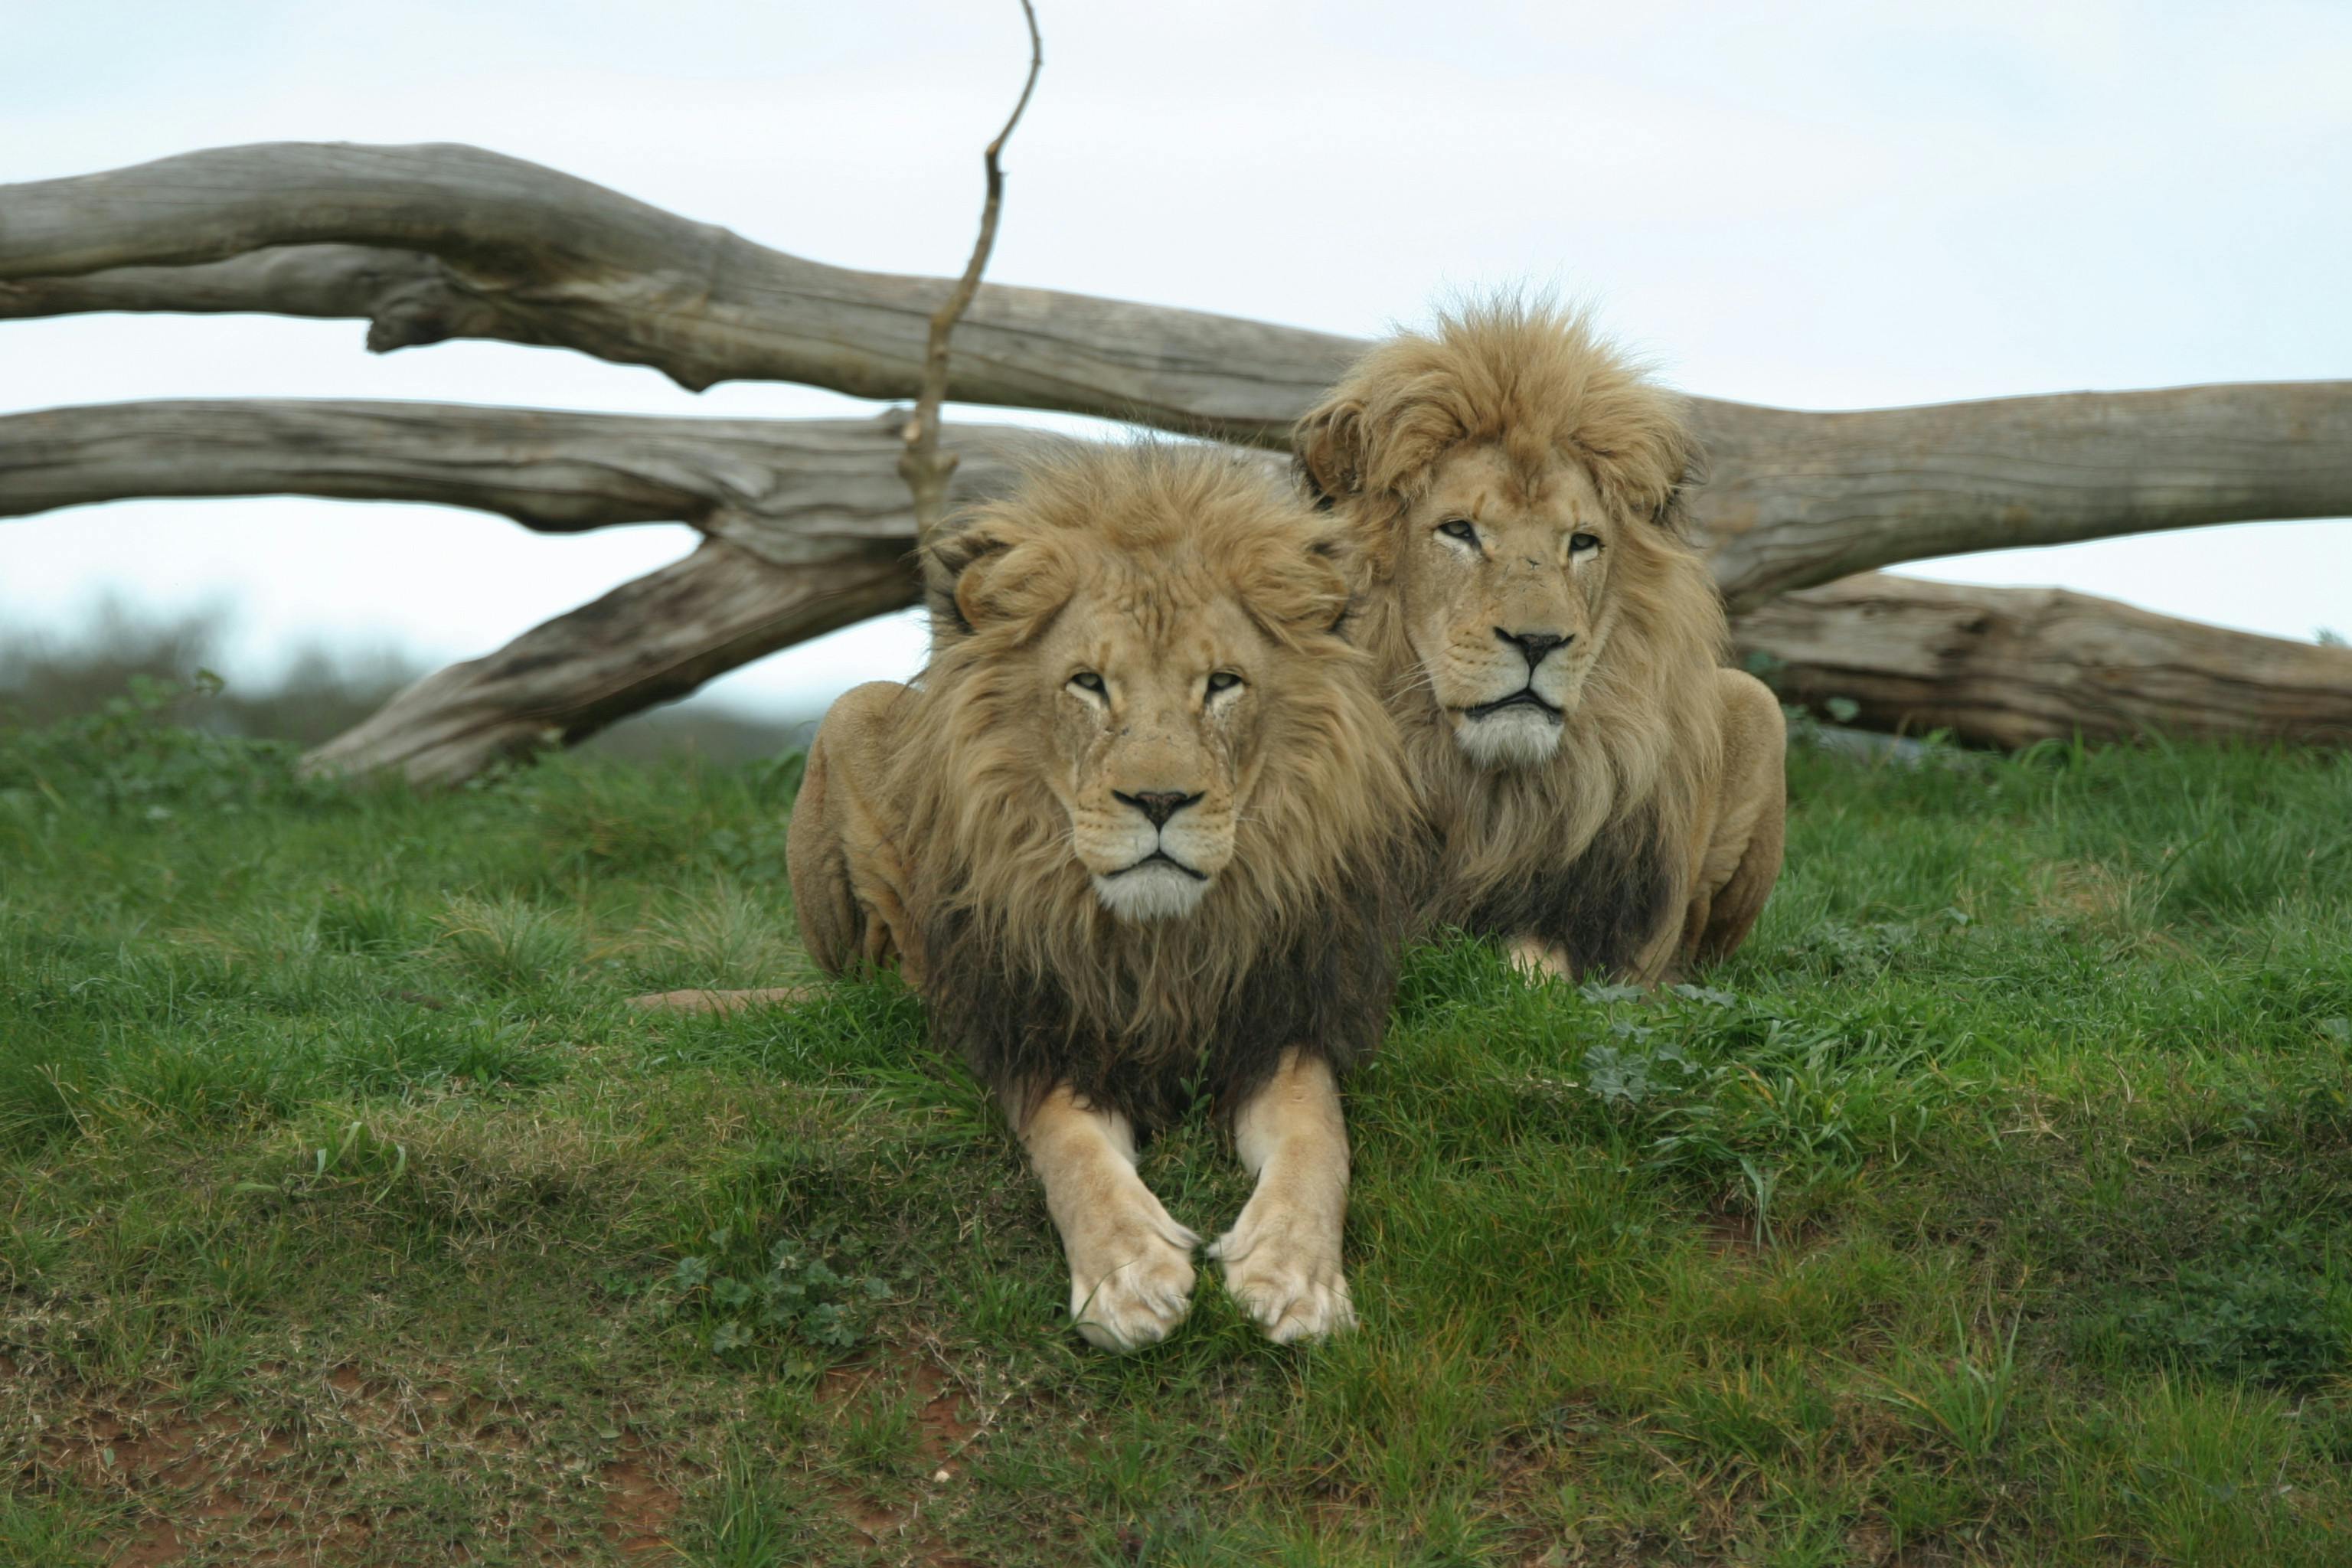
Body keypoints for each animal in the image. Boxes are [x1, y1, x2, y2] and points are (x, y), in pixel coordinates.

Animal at [786, 442, 1411, 1354]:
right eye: (1088, 683)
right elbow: (1070, 1148)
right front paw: (1127, 1274)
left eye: (1222, 683)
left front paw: (1295, 1275)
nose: (1159, 801)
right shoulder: (1035, 1034)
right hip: (852, 710)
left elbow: (1317, 1133)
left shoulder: (1281, 1018)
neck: (1158, 947)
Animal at [1289, 305, 1778, 987]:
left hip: (1758, 703)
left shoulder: (1599, 928)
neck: (1485, 795)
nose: (1539, 642)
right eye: (1460, 531)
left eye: (1582, 543)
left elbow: (1530, 973)